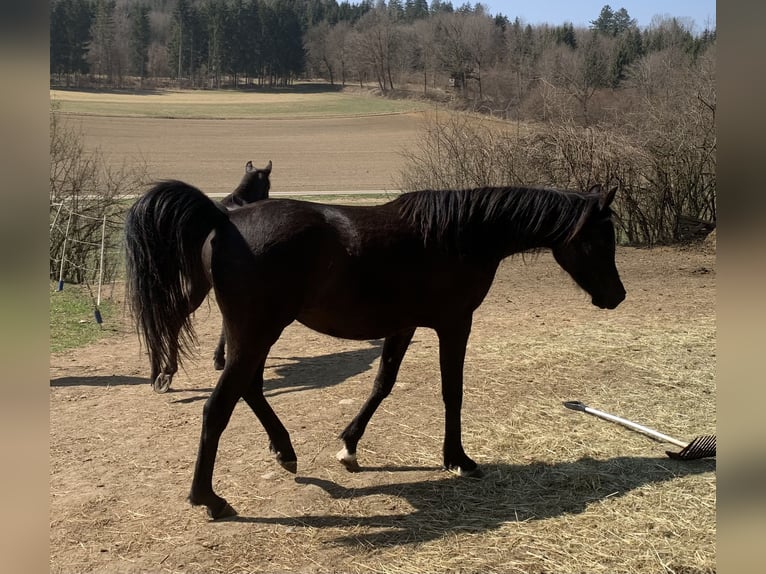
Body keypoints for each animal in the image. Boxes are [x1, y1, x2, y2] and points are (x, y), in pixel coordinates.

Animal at [150, 162, 272, 396]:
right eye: (268, 186)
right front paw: (220, 358)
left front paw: (219, 357)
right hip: (199, 286)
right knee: (175, 317)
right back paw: (168, 371)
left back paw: (158, 371)